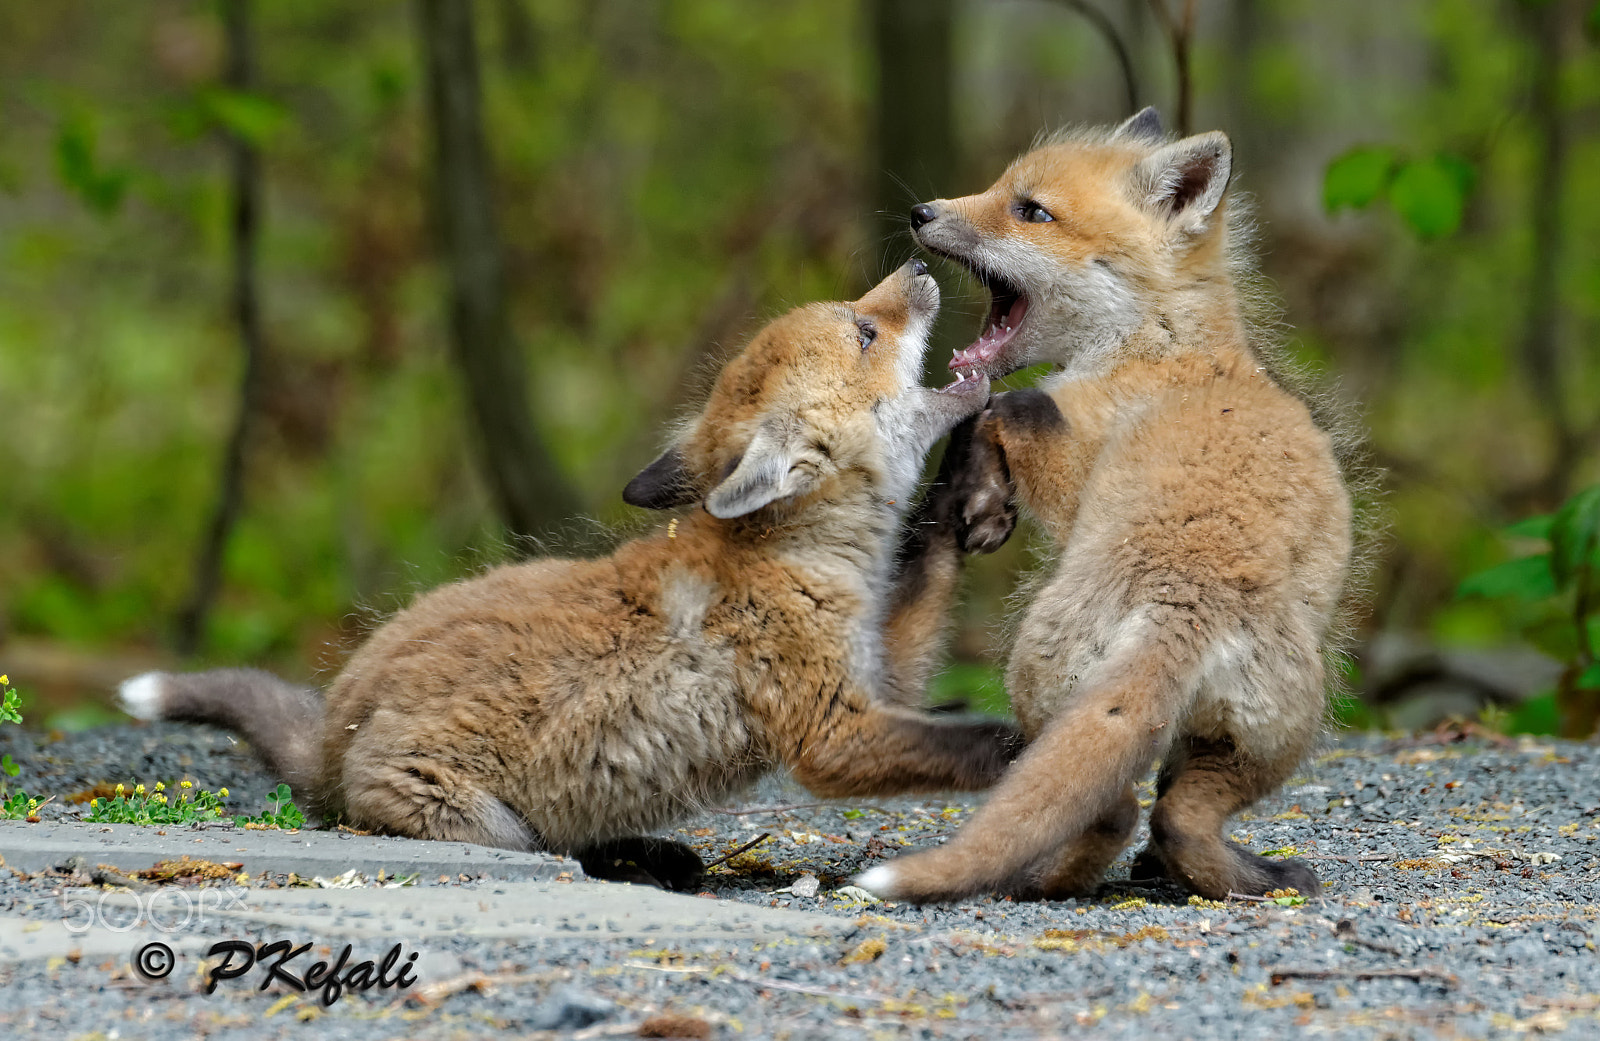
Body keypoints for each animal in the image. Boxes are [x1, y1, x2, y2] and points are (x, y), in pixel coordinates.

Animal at [119, 261, 1020, 890]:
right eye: (866, 331)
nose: (919, 258)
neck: (801, 553)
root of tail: (331, 735)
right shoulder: (828, 731)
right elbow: (973, 742)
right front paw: (1031, 748)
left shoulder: (883, 667)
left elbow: (932, 555)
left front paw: (968, 479)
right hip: (481, 823)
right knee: (547, 846)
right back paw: (632, 859)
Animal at [855, 109, 1358, 903]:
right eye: (999, 186)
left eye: (1031, 211)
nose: (921, 212)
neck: (1158, 344)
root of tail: (1186, 600)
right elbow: (990, 411)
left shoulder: (1068, 452)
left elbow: (996, 410)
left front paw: (986, 505)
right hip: (1260, 741)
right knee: (1174, 815)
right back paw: (1236, 874)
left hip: (1048, 695)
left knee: (1118, 810)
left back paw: (1043, 880)